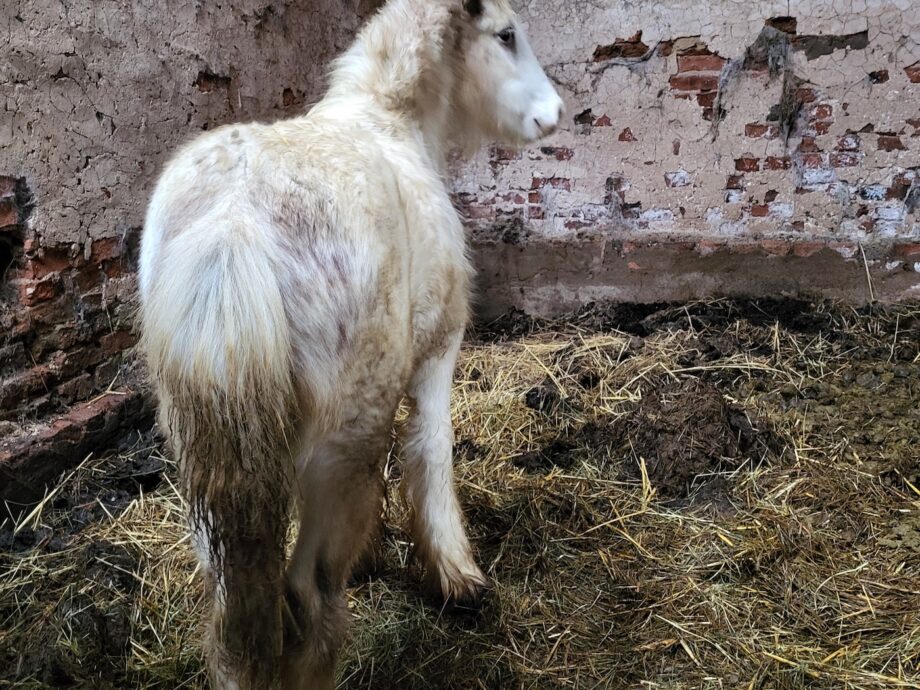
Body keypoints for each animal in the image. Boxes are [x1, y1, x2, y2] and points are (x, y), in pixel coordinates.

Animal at [138, 0, 563, 687]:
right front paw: (456, 573)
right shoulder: (438, 352)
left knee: (234, 609)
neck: (388, 120)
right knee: (310, 591)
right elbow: (429, 450)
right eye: (506, 34)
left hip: (208, 458)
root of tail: (234, 223)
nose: (553, 114)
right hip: (342, 439)